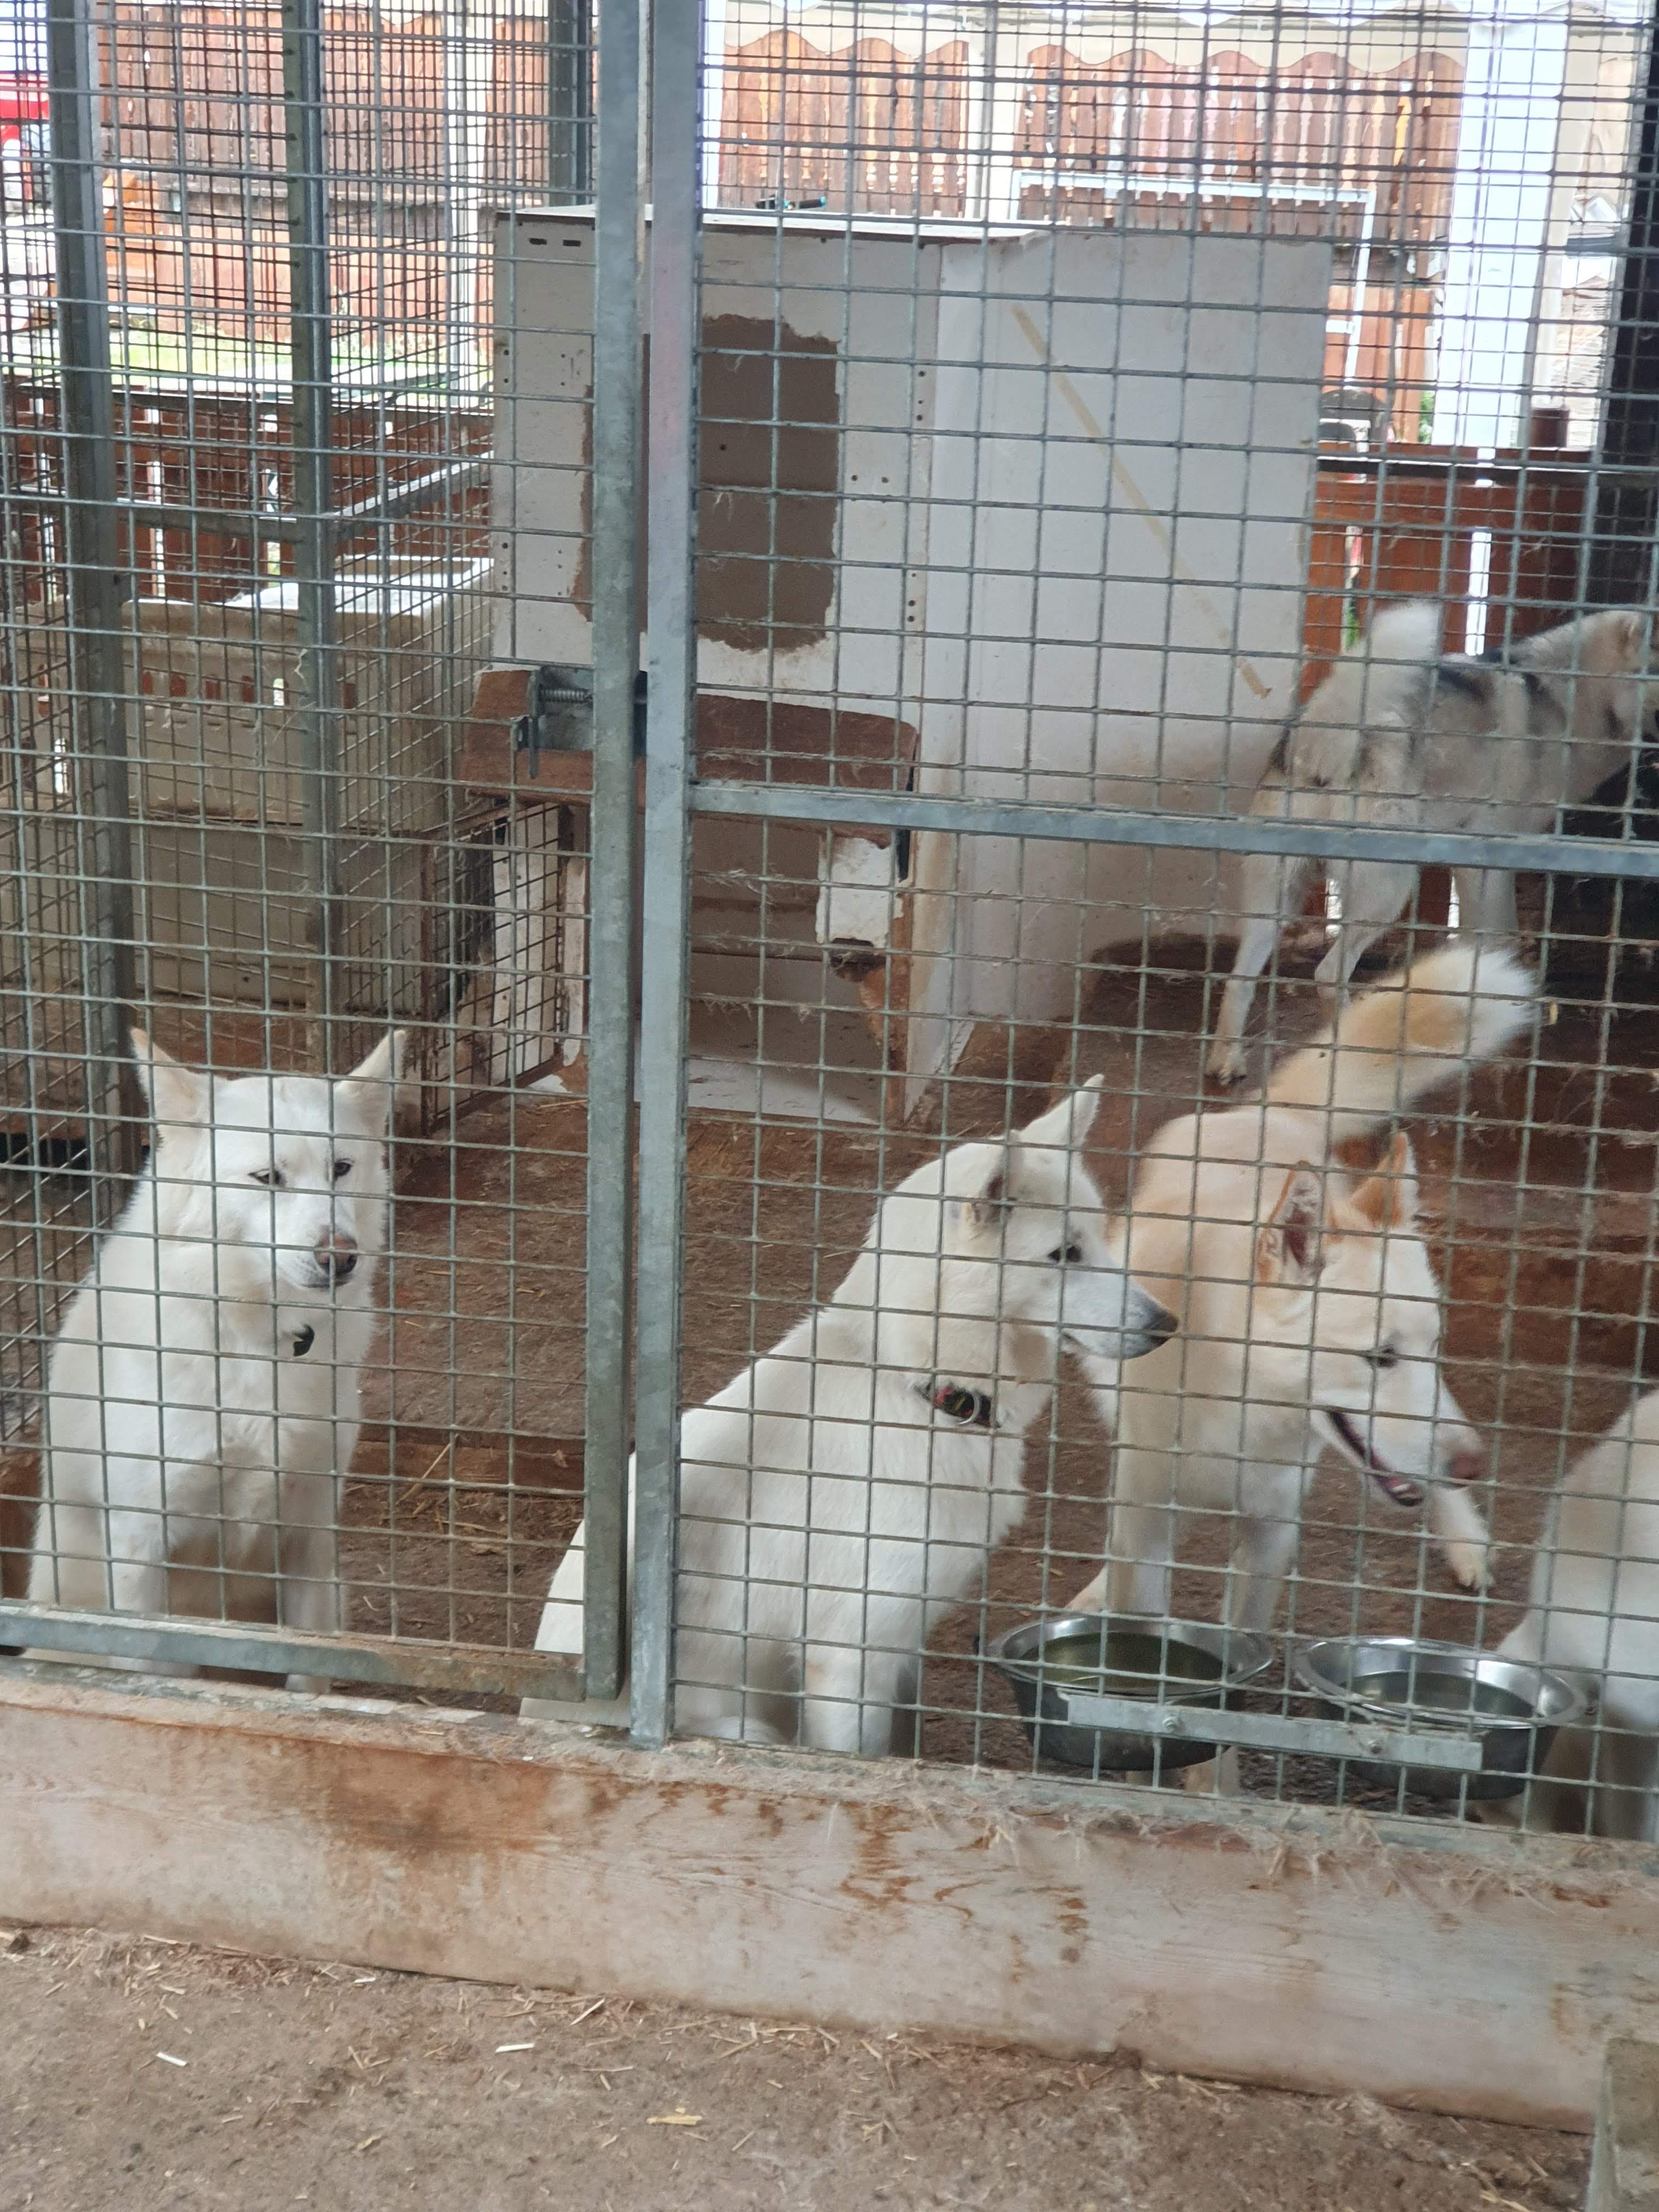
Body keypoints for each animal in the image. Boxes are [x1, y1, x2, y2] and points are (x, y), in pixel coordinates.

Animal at [24, 1026, 401, 1694]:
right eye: (267, 1176)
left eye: (341, 1168)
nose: (340, 1257)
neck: (255, 1335)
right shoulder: (142, 1547)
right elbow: (154, 1669)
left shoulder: (309, 1537)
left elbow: (309, 1675)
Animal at [524, 1079, 1176, 1754]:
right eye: (1064, 1254)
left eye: (1097, 1238)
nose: (1167, 1325)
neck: (918, 1387)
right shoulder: (847, 1657)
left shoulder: (900, 1642)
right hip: (749, 1726)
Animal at [1065, 941, 1536, 1635]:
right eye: (1379, 1357)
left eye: (1429, 1347)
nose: (1473, 1464)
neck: (1238, 1394)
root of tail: (1271, 1112)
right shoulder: (1146, 1520)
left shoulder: (1271, 1533)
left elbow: (1241, 1637)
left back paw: (1465, 1540)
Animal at [1207, 599, 1655, 1085]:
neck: (1570, 701)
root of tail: (1320, 737)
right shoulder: (1489, 862)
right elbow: (1501, 938)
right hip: (1388, 893)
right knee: (1327, 974)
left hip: (1276, 901)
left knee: (1239, 980)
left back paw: (1227, 1061)